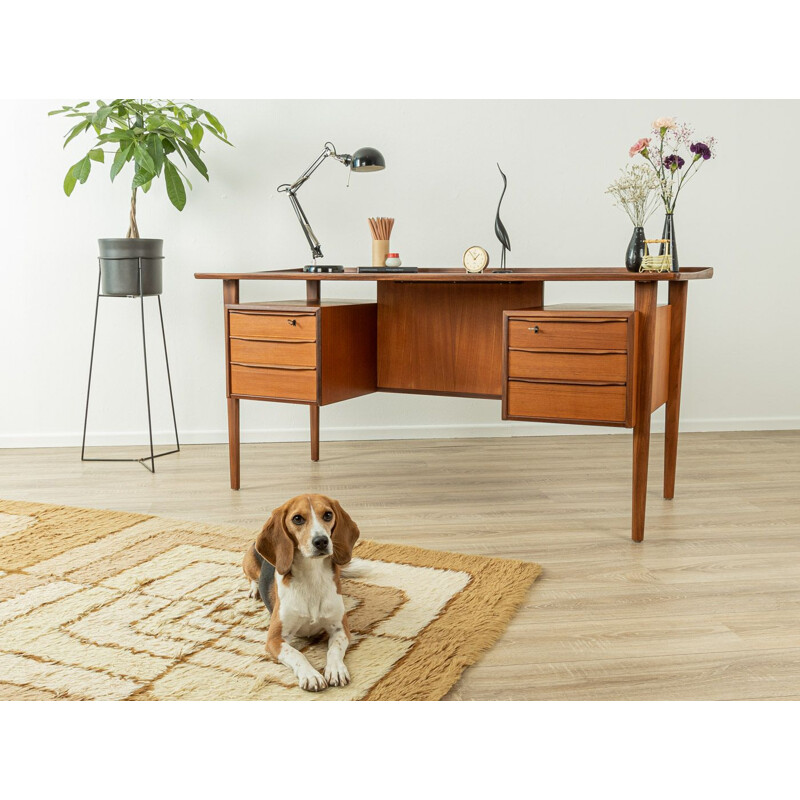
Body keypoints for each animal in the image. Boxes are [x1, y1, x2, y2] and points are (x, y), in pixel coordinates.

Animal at [241, 490, 360, 692]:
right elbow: (297, 654)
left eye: (328, 515)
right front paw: (311, 675)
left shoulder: (340, 629)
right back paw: (254, 589)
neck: (312, 577)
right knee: (251, 577)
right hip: (249, 559)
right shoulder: (274, 639)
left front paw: (336, 669)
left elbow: (334, 649)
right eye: (297, 519)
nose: (321, 541)